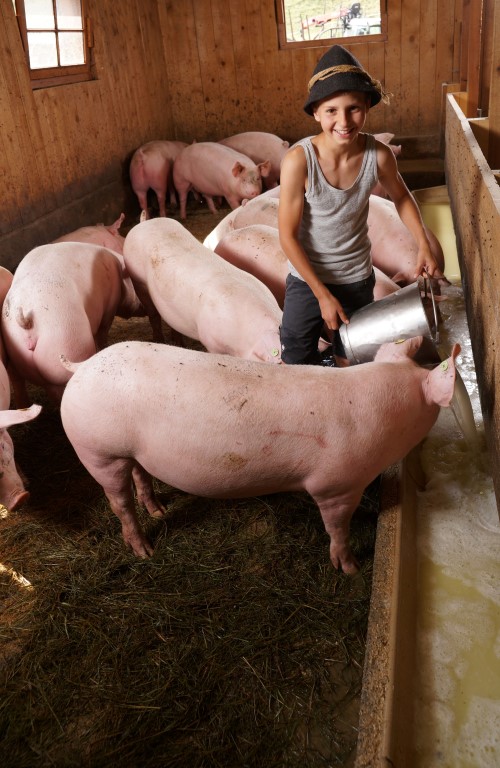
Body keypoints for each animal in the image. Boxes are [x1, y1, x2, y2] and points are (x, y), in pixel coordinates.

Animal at [1, 242, 145, 406]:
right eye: (133, 281)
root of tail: (26, 319)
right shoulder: (110, 307)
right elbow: (102, 332)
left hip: (16, 350)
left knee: (19, 381)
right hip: (67, 341)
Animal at [59, 336, 459, 574]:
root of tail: (82, 367)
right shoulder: (335, 485)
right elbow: (337, 527)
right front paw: (349, 569)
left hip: (129, 452)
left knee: (139, 476)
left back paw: (158, 509)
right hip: (98, 451)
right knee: (118, 502)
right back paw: (145, 551)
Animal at [122, 218, 283, 362]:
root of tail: (145, 222)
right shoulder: (211, 341)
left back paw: (180, 344)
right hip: (138, 282)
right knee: (153, 315)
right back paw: (160, 341)